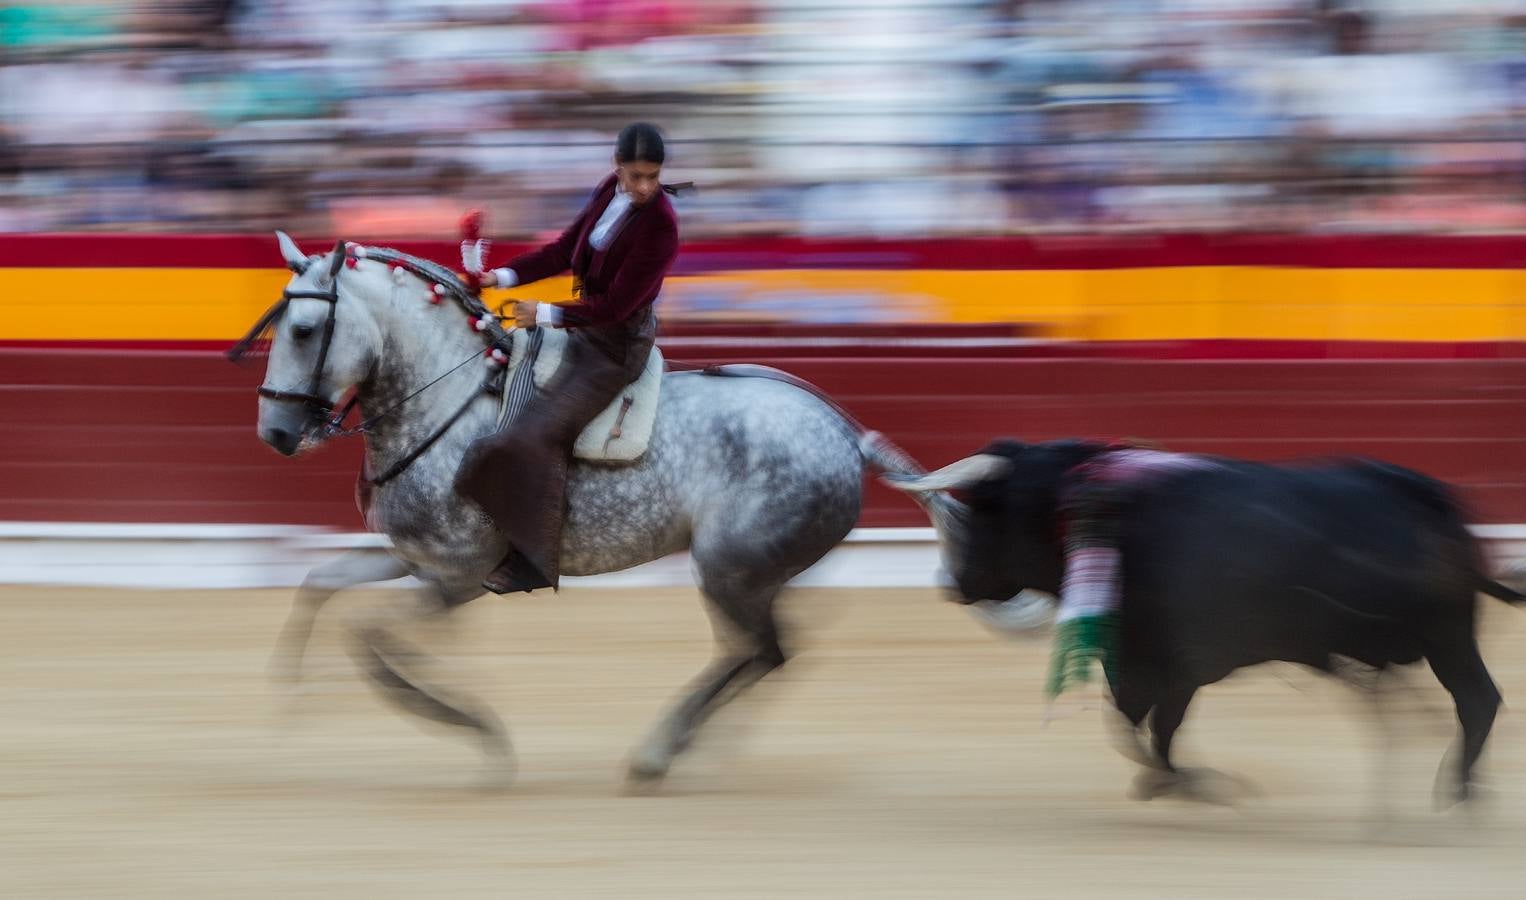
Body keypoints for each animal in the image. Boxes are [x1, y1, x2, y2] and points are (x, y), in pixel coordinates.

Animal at [239, 236, 927, 787]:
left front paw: (476, 730)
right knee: (769, 650)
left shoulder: (457, 577)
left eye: (303, 330)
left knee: (760, 651)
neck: (450, 398)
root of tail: (846, 435)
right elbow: (319, 584)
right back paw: (697, 747)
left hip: (727, 568)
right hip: (758, 572)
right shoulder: (413, 556)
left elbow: (374, 640)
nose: (275, 432)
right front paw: (291, 706)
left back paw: (659, 753)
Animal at [891, 445, 1519, 811]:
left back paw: (1458, 795)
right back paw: (1466, 792)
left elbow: (1140, 726)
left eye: (987, 506)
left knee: (1477, 701)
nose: (950, 581)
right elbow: (1146, 726)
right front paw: (1176, 783)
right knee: (1479, 700)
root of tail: (1431, 496)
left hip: (1447, 636)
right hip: (1447, 638)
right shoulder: (1147, 662)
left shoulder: (1170, 664)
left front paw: (1188, 783)